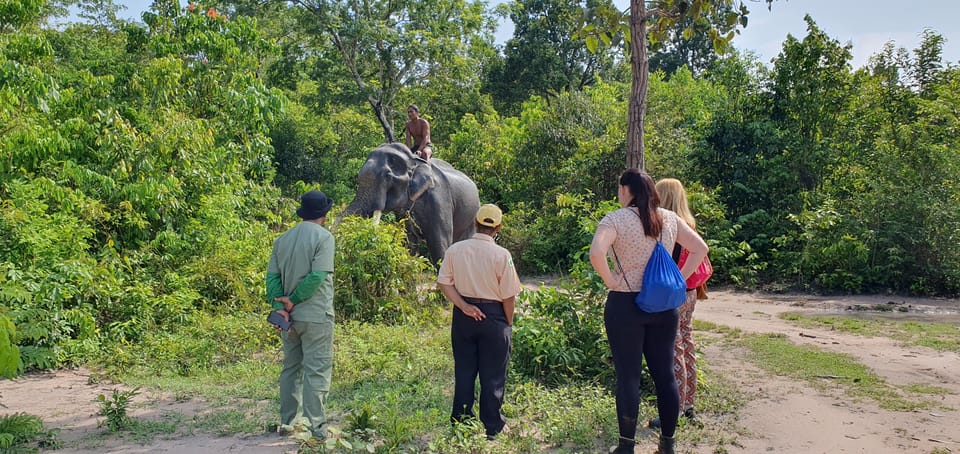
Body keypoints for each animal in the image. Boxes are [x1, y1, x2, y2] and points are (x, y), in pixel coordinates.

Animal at [342, 142, 484, 262]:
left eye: (387, 176)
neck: (414, 161)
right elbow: (409, 242)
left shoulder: (441, 200)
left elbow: (439, 245)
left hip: (472, 215)